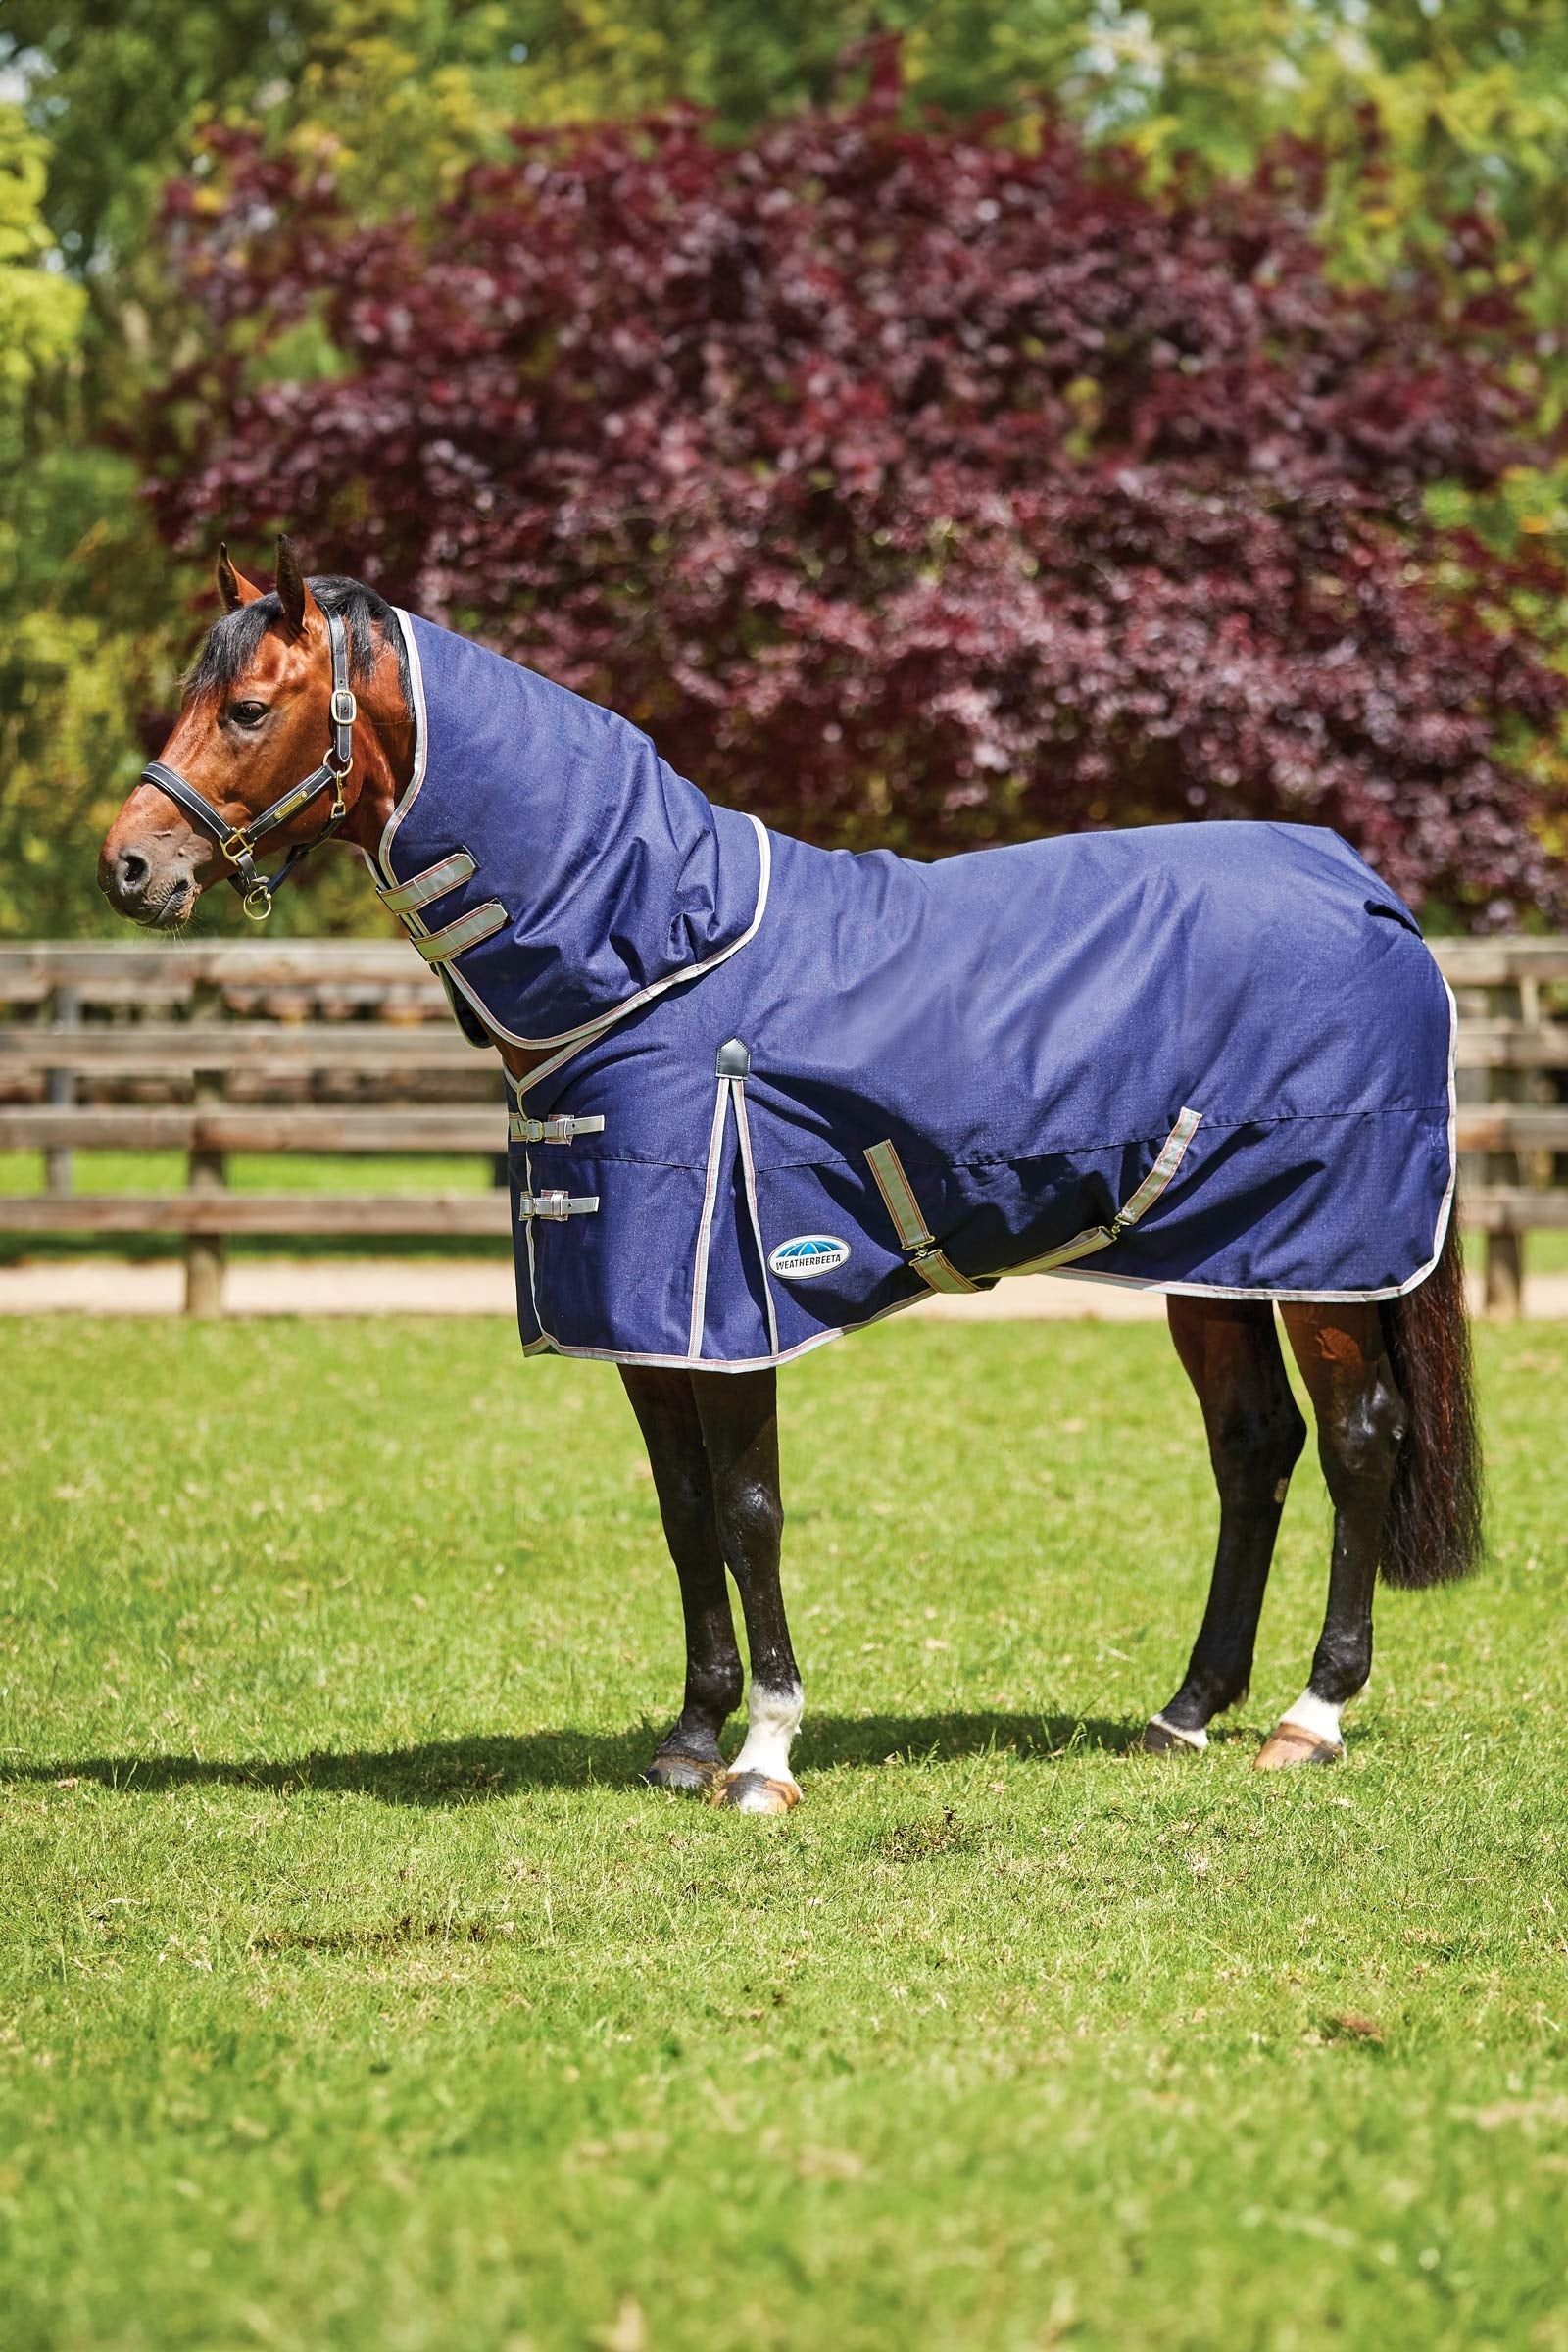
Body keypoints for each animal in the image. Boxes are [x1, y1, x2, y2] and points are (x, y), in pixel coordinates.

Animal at [99, 540, 1482, 1812]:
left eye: (247, 708)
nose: (130, 865)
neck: (655, 957)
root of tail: (1366, 891)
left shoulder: (729, 1300)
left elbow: (750, 1509)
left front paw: (764, 1755)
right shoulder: (641, 1315)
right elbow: (682, 1512)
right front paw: (688, 1738)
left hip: (1329, 1260)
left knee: (1359, 1440)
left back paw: (1309, 1716)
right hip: (1217, 1255)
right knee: (1252, 1447)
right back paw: (1185, 1712)